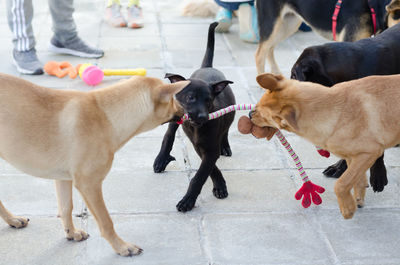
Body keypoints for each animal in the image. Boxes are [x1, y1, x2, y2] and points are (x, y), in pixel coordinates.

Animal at [0, 73, 189, 255]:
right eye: (173, 99)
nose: (185, 110)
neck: (106, 114)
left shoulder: (63, 179)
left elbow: (66, 207)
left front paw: (71, 232)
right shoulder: (89, 184)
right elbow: (106, 221)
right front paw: (122, 247)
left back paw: (13, 220)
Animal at [152, 23, 234, 212]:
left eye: (209, 100)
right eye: (191, 97)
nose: (203, 116)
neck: (196, 127)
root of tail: (207, 67)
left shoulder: (209, 148)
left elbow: (201, 175)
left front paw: (188, 200)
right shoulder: (199, 146)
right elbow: (209, 169)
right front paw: (219, 185)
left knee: (226, 130)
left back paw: (225, 146)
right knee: (169, 134)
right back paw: (161, 159)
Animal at [250, 72, 400, 219]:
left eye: (265, 117)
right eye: (258, 103)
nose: (250, 114)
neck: (334, 111)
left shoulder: (371, 152)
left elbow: (341, 183)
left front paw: (347, 209)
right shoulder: (353, 156)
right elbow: (356, 180)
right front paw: (356, 199)